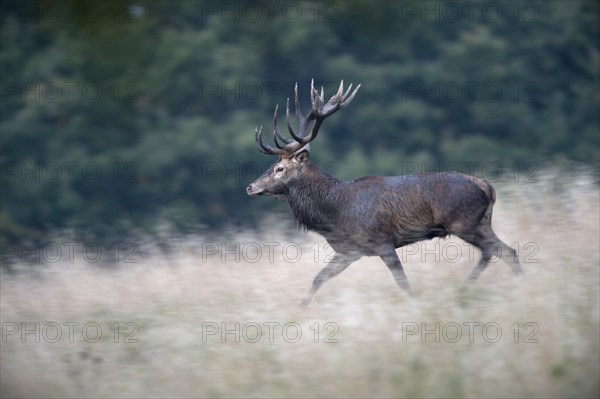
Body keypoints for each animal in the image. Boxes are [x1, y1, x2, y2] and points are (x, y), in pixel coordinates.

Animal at [246, 80, 524, 306]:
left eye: (279, 168)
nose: (250, 187)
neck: (335, 213)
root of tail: (487, 186)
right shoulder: (349, 250)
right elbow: (318, 278)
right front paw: (300, 308)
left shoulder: (381, 240)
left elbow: (402, 281)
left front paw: (415, 304)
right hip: (480, 222)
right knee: (504, 251)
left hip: (463, 222)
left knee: (496, 250)